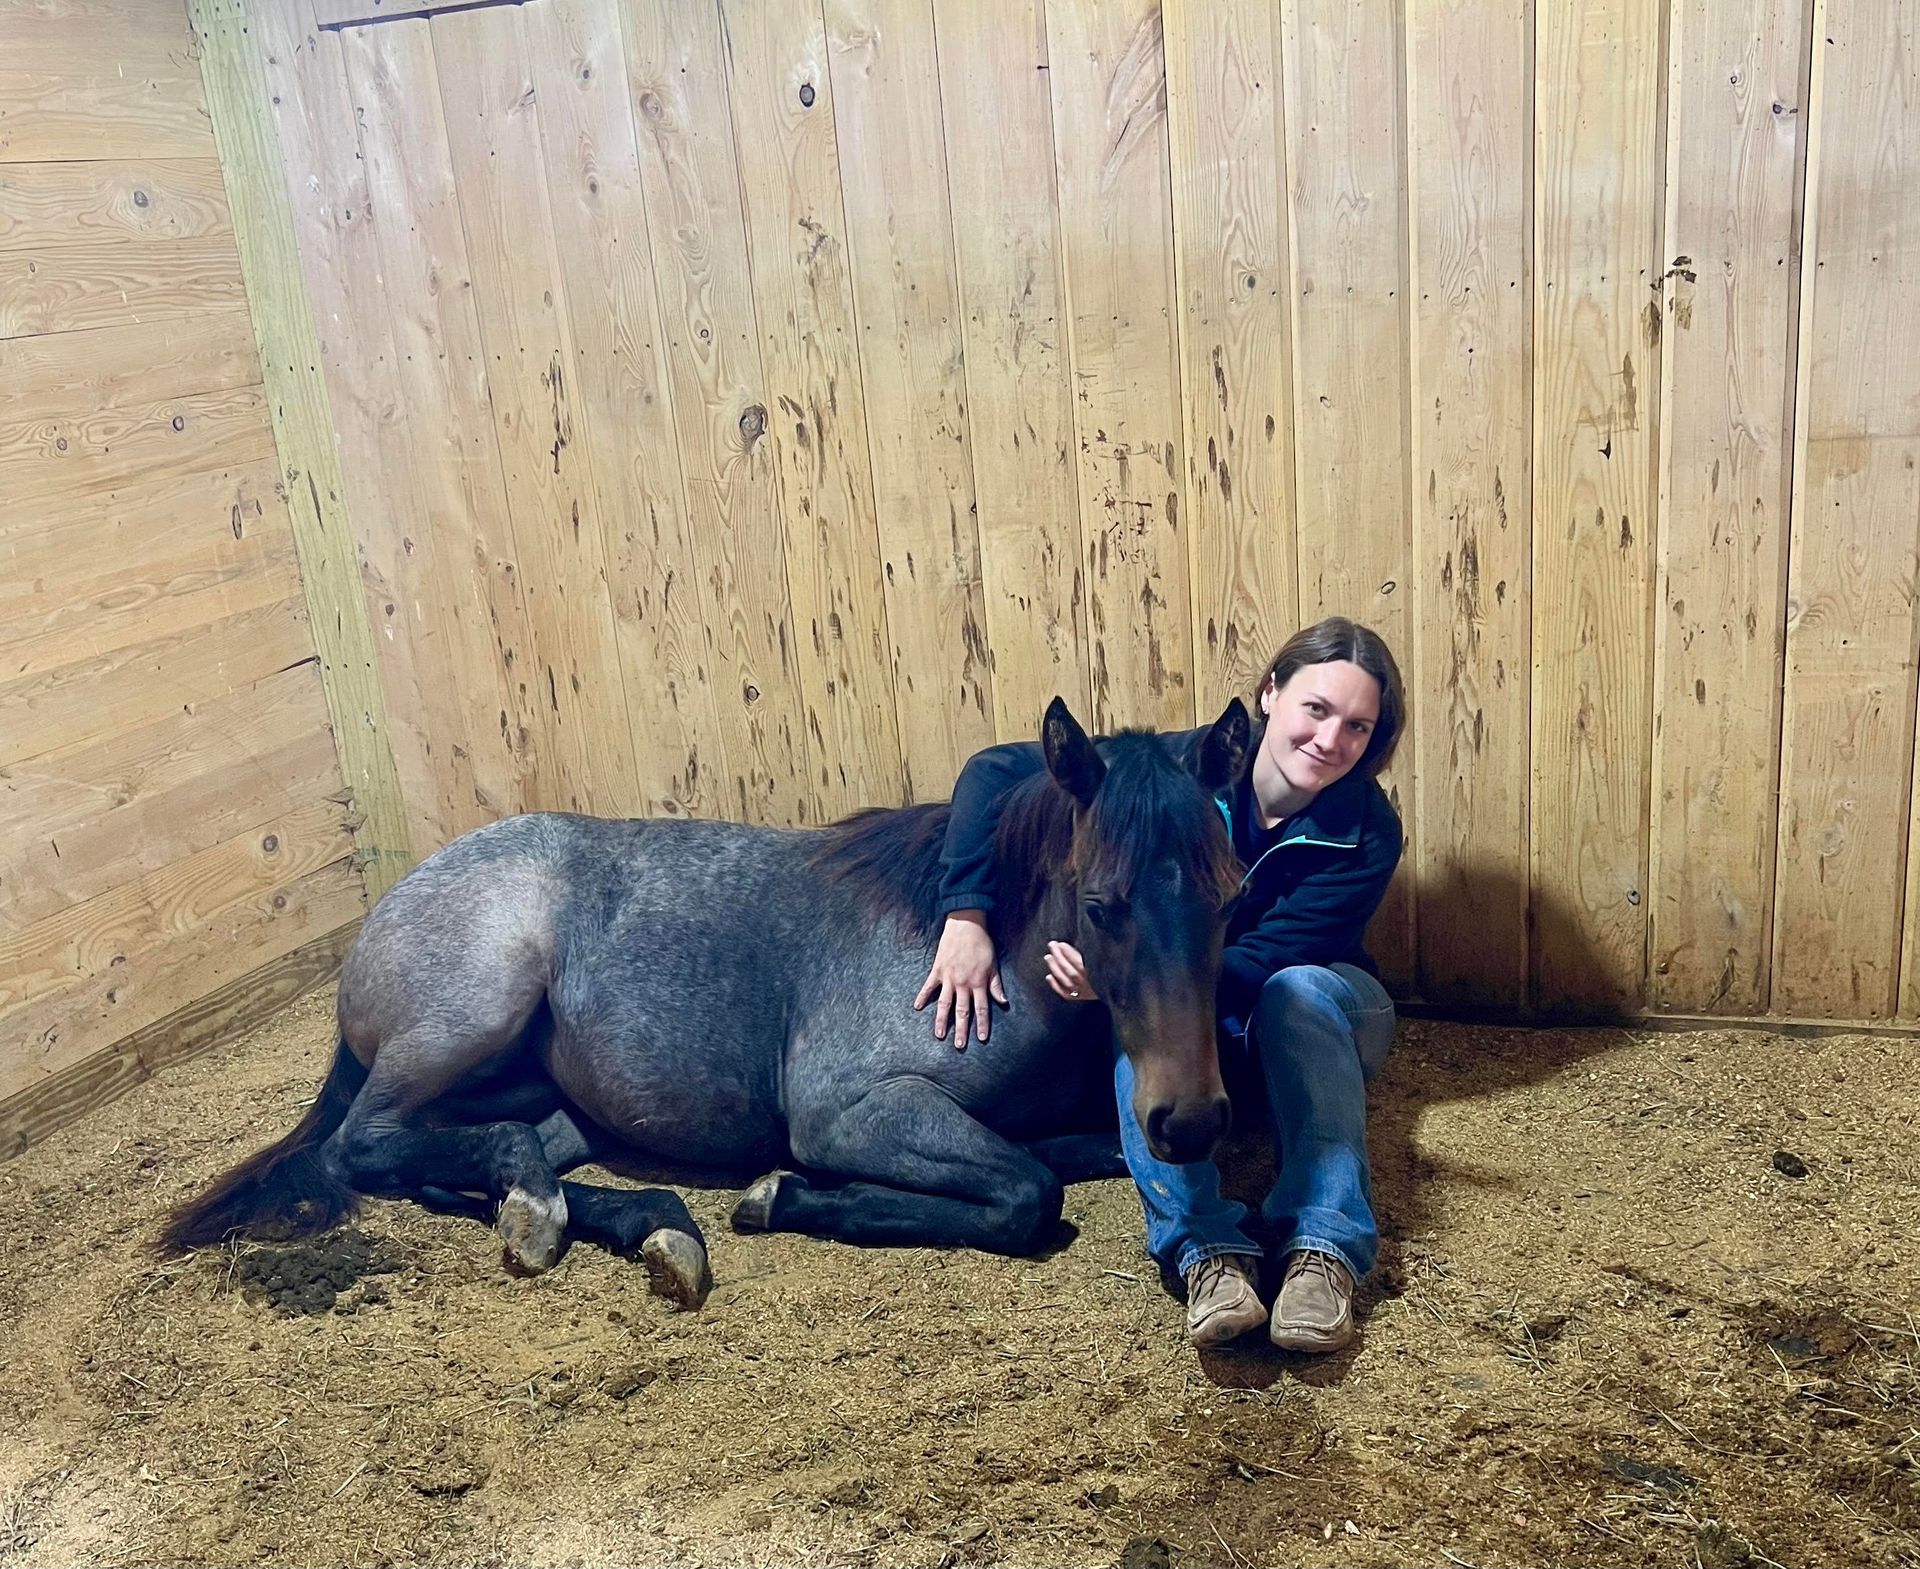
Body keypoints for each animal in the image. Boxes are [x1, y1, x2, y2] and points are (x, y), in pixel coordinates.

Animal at [160, 697, 1250, 1311]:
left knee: (456, 1160)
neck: (983, 959)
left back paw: (639, 1225)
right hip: (471, 1012)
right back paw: (558, 1215)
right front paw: (784, 1196)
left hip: (553, 1102)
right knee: (366, 1145)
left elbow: (1066, 1155)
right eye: (1103, 904)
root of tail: (390, 907)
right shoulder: (849, 1111)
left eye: (1230, 891)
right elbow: (1029, 1191)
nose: (1192, 1119)